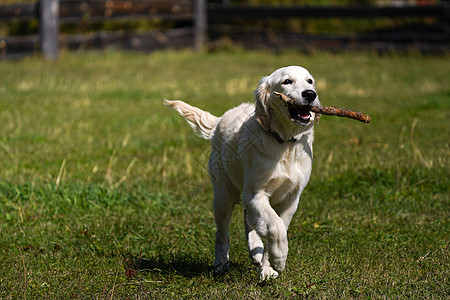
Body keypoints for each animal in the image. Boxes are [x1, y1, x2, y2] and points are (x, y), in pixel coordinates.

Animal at [165, 65, 320, 278]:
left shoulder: (291, 197)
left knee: (249, 219)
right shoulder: (255, 193)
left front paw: (268, 266)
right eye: (287, 81)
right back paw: (221, 263)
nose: (310, 94)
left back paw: (256, 251)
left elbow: (277, 225)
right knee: (222, 233)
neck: (284, 143)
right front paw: (279, 258)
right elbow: (276, 227)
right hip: (223, 196)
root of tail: (220, 120)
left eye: (310, 81)